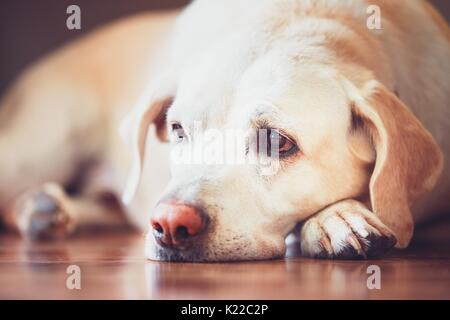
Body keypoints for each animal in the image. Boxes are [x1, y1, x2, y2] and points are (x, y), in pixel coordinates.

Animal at [0, 0, 448, 262]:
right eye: (177, 129)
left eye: (278, 142)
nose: (169, 224)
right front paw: (336, 217)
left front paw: (336, 216)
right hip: (40, 149)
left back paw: (46, 209)